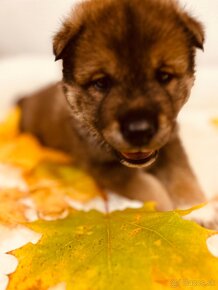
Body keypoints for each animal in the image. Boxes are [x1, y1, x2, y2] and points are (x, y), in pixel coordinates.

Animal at [18, 0, 206, 213]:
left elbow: (182, 174)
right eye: (101, 83)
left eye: (164, 76)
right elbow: (144, 185)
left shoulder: (171, 140)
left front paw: (198, 208)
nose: (139, 130)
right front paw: (168, 209)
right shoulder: (101, 166)